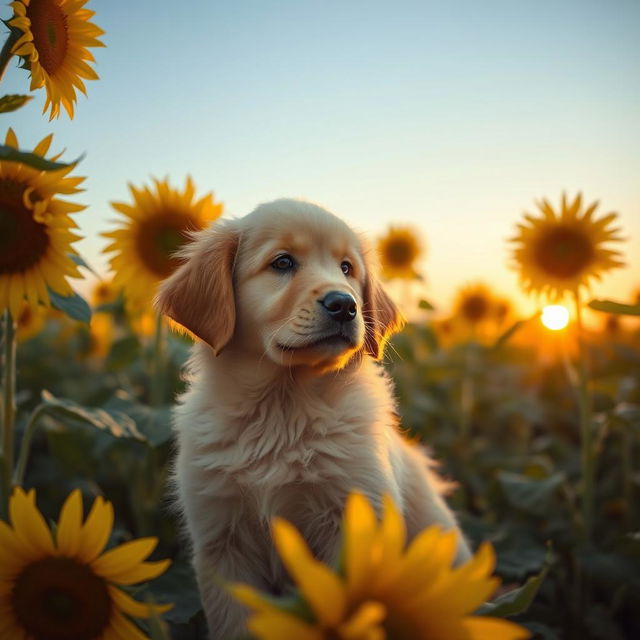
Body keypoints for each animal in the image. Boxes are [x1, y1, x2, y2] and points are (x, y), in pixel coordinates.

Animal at [156, 199, 470, 636]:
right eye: (283, 262)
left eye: (347, 268)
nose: (345, 305)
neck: (282, 406)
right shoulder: (221, 539)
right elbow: (235, 624)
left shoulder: (353, 520)